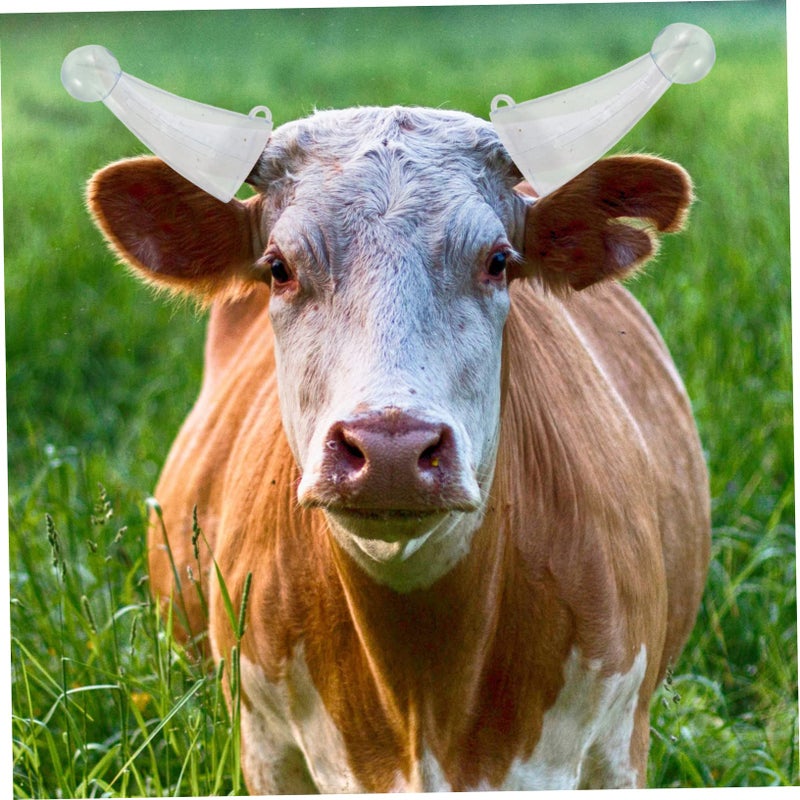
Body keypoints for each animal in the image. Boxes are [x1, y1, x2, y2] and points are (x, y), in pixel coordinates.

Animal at [87, 105, 710, 792]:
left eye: (498, 260)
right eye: (279, 267)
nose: (390, 450)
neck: (422, 695)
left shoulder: (617, 742)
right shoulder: (266, 746)